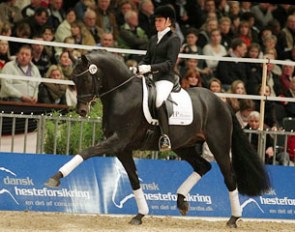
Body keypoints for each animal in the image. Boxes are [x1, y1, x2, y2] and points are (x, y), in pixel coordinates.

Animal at [45, 50, 272, 227]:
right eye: (74, 80)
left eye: (84, 79)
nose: (82, 111)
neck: (122, 93)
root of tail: (222, 102)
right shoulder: (122, 148)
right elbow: (134, 179)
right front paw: (140, 215)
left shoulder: (117, 141)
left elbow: (86, 152)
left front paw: (55, 177)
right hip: (183, 146)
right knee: (203, 166)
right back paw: (181, 201)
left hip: (219, 145)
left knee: (229, 177)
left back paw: (234, 218)